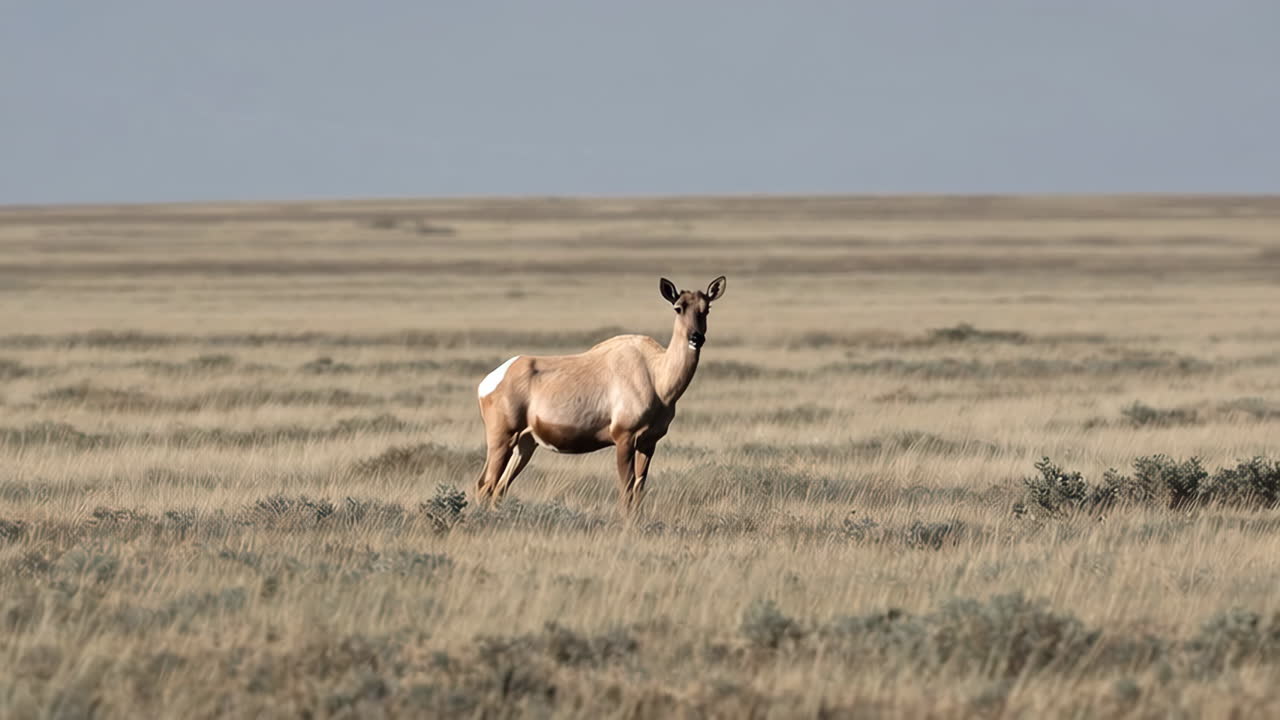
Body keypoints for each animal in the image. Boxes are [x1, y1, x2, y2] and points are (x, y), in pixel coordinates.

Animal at [474, 276, 727, 512]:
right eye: (678, 307)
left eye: (706, 308)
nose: (696, 338)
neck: (654, 374)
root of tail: (491, 381)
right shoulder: (624, 439)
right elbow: (626, 493)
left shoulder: (648, 443)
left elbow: (638, 491)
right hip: (502, 439)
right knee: (485, 485)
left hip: (524, 444)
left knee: (499, 488)